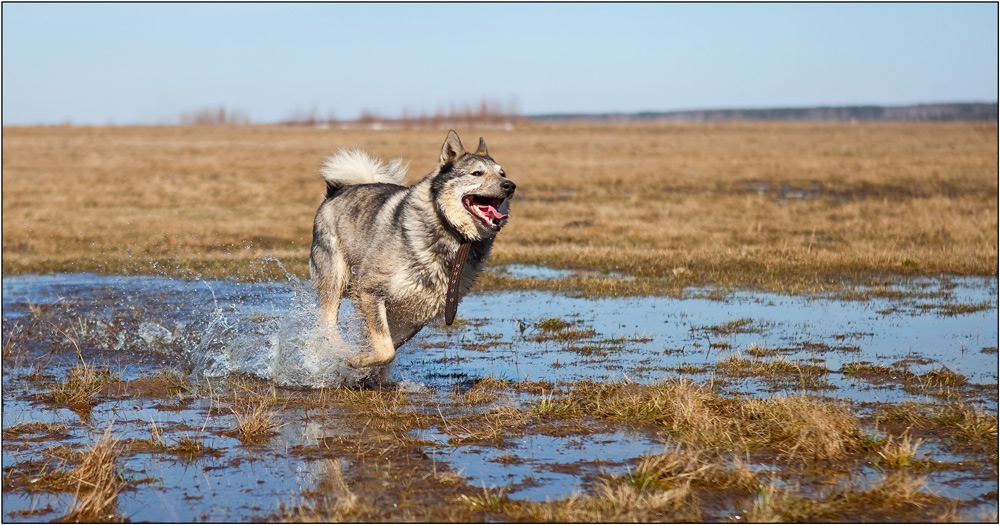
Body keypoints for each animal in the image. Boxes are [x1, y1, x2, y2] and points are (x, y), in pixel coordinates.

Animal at [310, 131, 516, 384]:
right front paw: (354, 361)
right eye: (477, 173)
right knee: (326, 326)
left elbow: (387, 346)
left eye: (502, 173)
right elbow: (385, 349)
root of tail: (335, 191)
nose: (510, 185)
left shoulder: (415, 314)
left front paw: (370, 371)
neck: (453, 234)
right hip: (333, 281)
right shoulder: (368, 289)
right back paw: (338, 350)